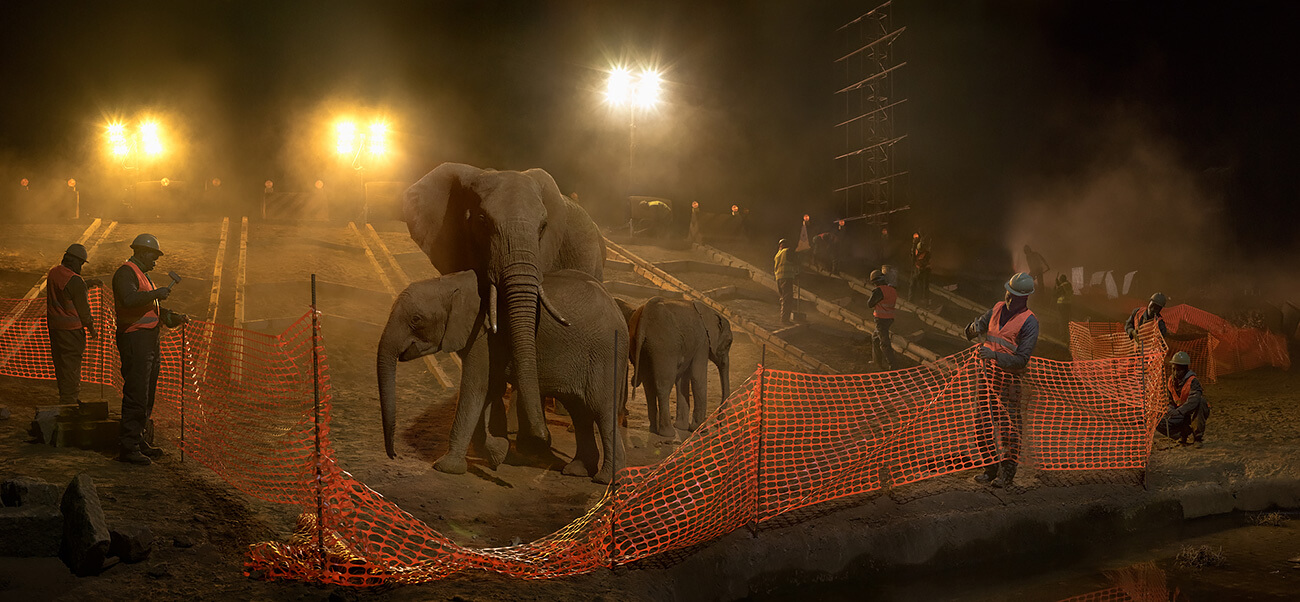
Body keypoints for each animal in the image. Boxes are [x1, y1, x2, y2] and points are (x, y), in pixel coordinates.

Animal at [377, 269, 629, 486]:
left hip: (604, 354)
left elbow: (475, 388)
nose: (394, 455)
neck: (450, 283)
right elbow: (489, 390)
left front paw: (446, 467)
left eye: (416, 319)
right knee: (580, 412)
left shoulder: (484, 337)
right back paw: (577, 471)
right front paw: (499, 451)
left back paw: (605, 480)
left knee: (601, 410)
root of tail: (619, 312)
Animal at [626, 296, 733, 439]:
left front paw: (682, 427)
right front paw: (699, 430)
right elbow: (697, 377)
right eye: (729, 343)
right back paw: (667, 433)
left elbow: (682, 379)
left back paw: (653, 429)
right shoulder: (702, 343)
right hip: (665, 346)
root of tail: (645, 314)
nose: (719, 424)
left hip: (642, 344)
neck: (711, 311)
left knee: (648, 384)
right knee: (664, 384)